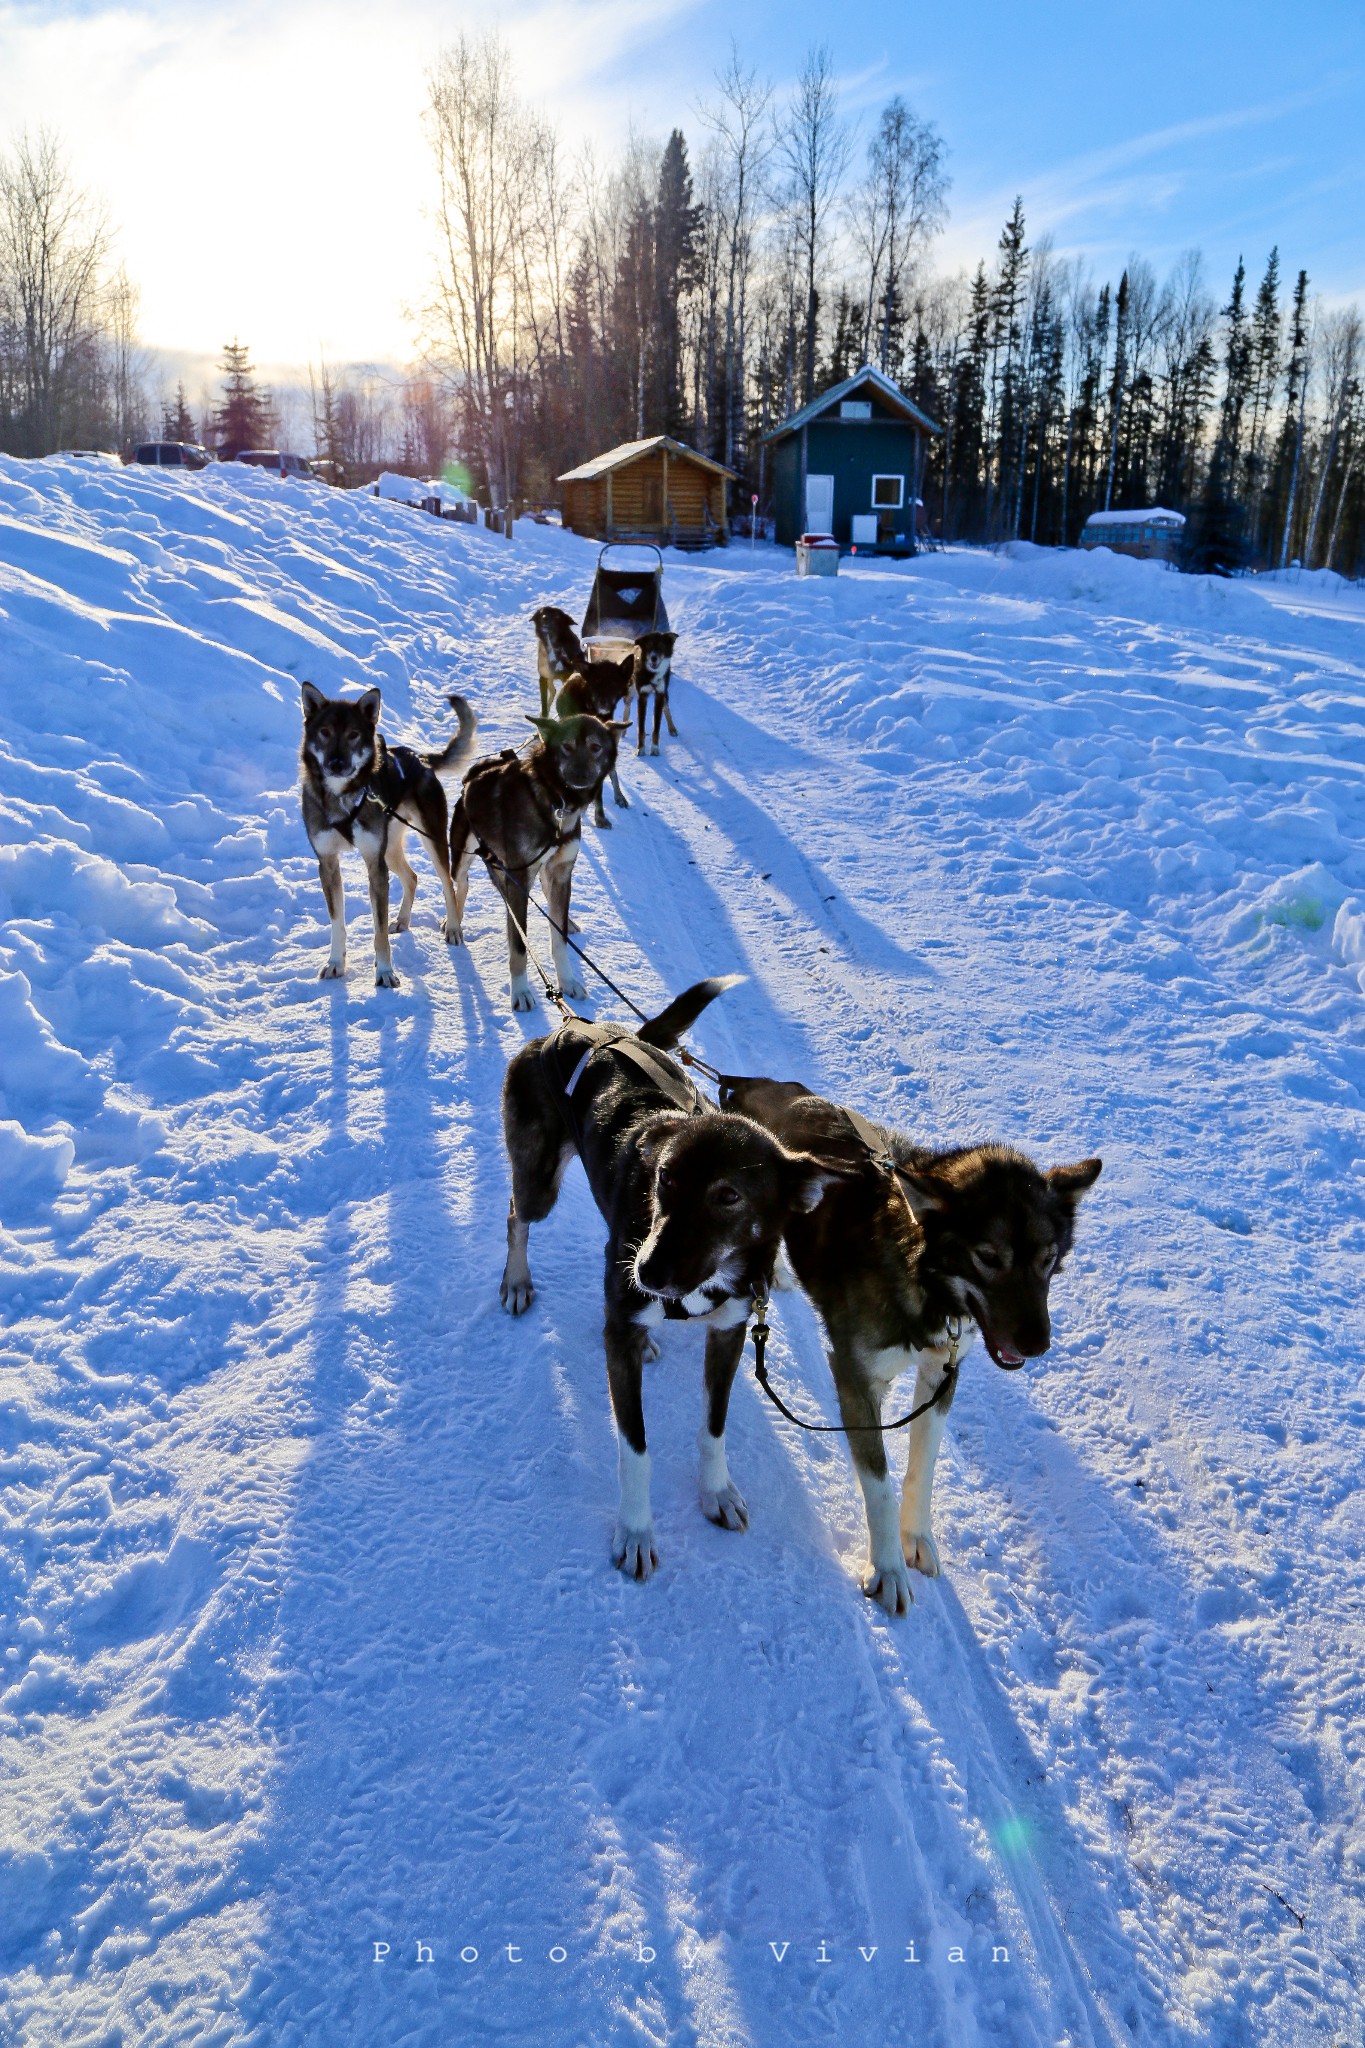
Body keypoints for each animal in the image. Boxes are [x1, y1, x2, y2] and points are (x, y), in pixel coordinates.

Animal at [298, 684, 480, 987]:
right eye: (324, 732)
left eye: (353, 734)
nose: (336, 763)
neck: (343, 797)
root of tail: (419, 758)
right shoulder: (328, 863)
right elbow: (337, 923)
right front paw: (336, 963)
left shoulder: (375, 865)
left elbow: (379, 930)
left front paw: (384, 971)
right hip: (390, 852)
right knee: (412, 877)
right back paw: (404, 920)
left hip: (430, 841)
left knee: (448, 885)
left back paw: (453, 927)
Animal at [499, 983, 834, 1572]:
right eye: (664, 1179)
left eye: (728, 1196)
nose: (646, 1273)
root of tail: (575, 1030)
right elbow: (635, 1449)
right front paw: (636, 1530)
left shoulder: (728, 1332)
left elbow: (713, 1427)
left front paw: (716, 1491)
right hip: (540, 1183)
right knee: (518, 1215)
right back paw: (518, 1281)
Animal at [724, 1073, 1096, 1613]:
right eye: (988, 1257)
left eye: (1048, 1258)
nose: (1038, 1345)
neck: (921, 1281)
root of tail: (756, 1084)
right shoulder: (857, 1379)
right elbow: (877, 1482)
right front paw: (888, 1569)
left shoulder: (942, 1372)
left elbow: (923, 1466)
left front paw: (916, 1538)